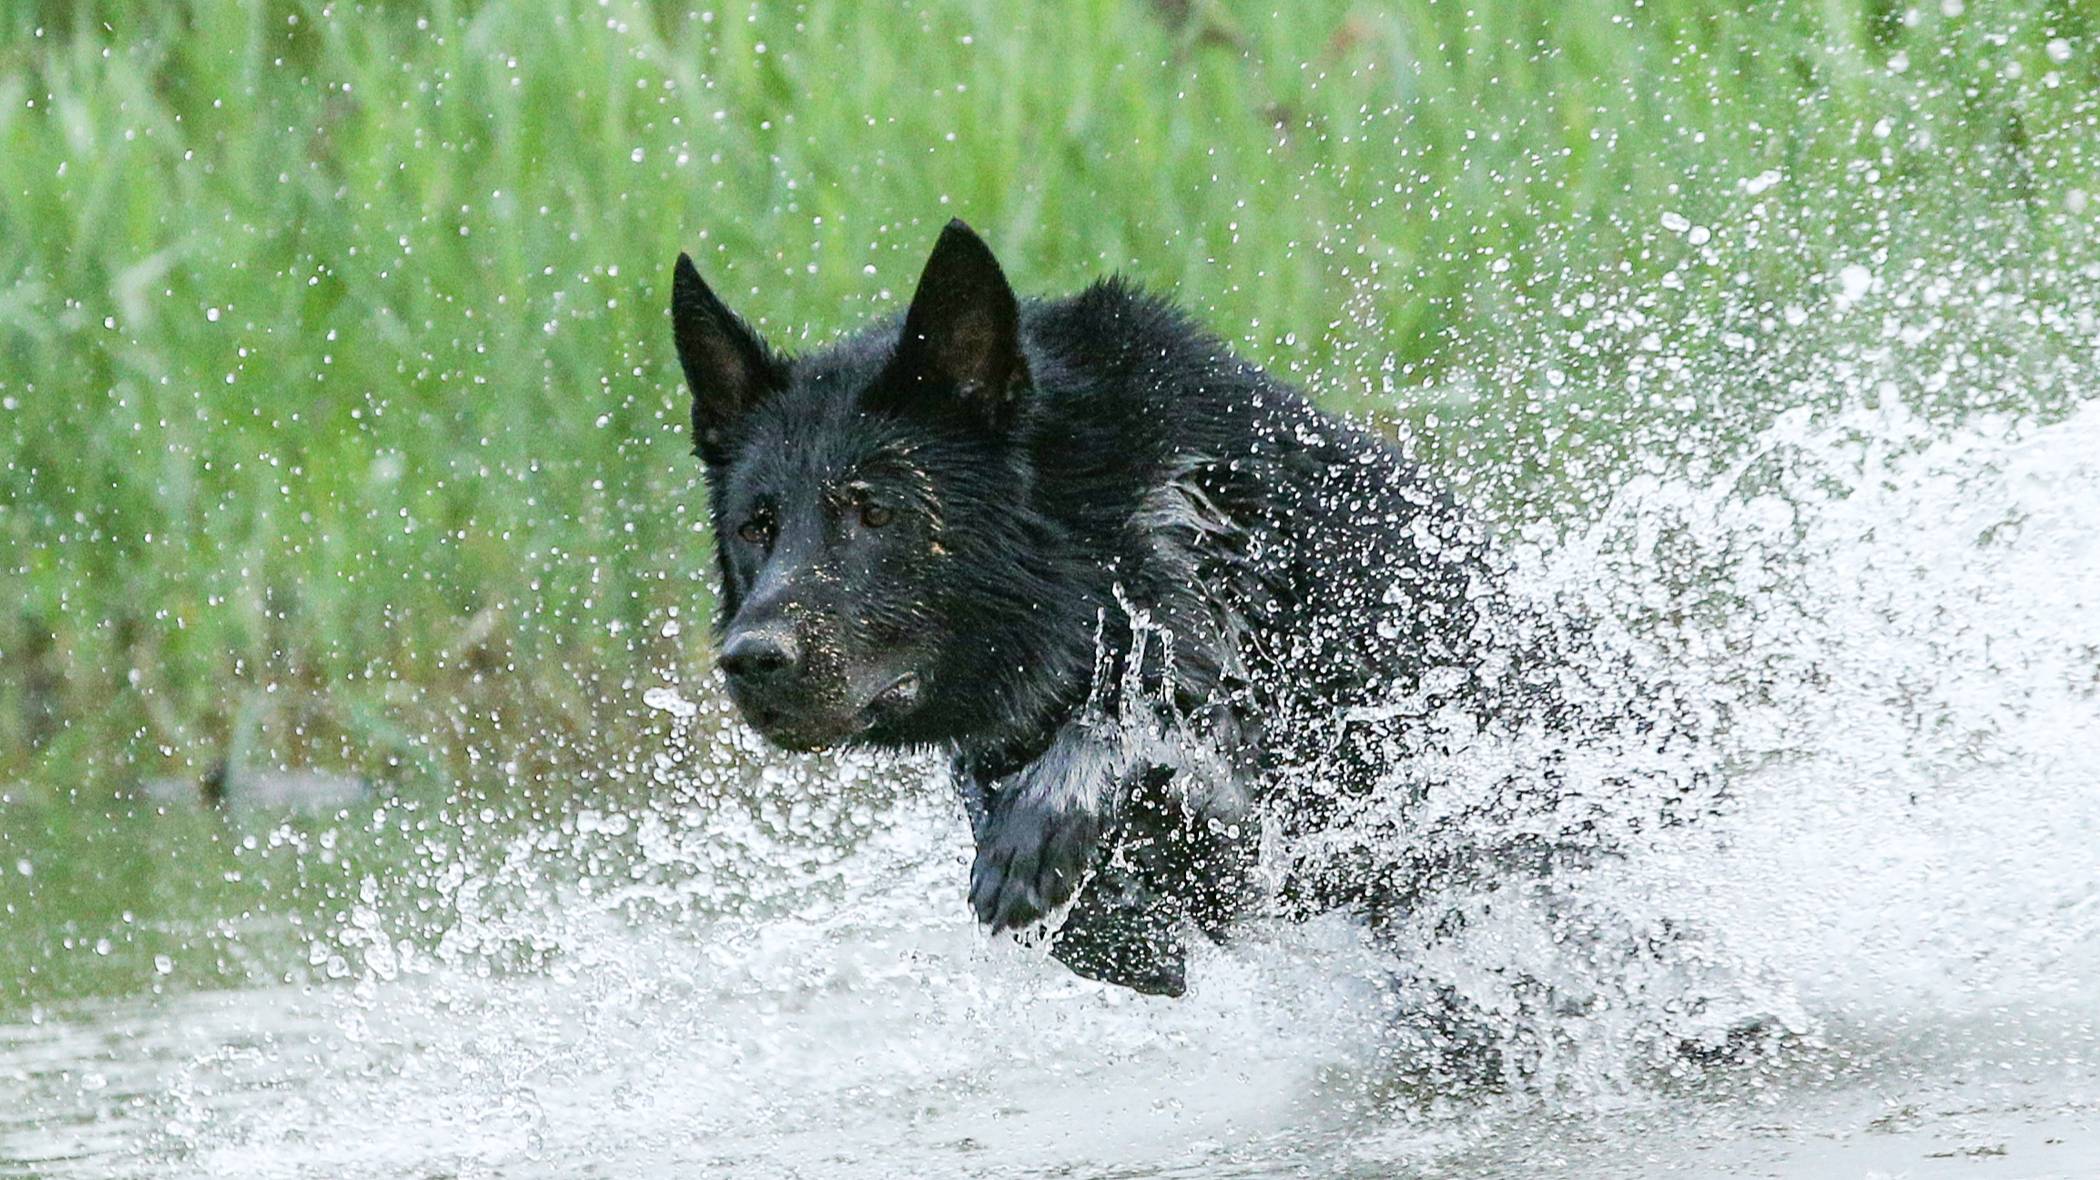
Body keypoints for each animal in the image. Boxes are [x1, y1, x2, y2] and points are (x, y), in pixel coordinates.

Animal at [676, 222, 1495, 991]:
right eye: (755, 528)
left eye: (875, 513)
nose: (751, 660)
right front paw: (1116, 927)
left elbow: (1138, 715)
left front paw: (1054, 807)